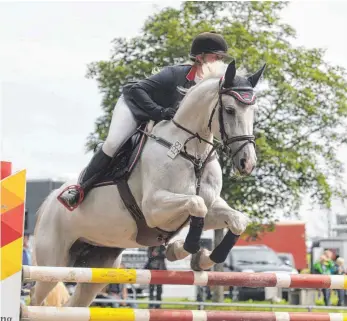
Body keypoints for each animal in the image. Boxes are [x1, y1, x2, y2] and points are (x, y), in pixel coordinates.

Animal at [30, 58, 266, 306]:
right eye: (229, 110)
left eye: (253, 111)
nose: (247, 163)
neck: (193, 154)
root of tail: (48, 204)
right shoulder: (154, 208)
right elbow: (196, 204)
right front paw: (182, 249)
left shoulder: (207, 208)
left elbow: (236, 219)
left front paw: (201, 258)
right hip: (54, 261)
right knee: (36, 299)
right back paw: (72, 196)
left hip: (98, 264)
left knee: (75, 303)